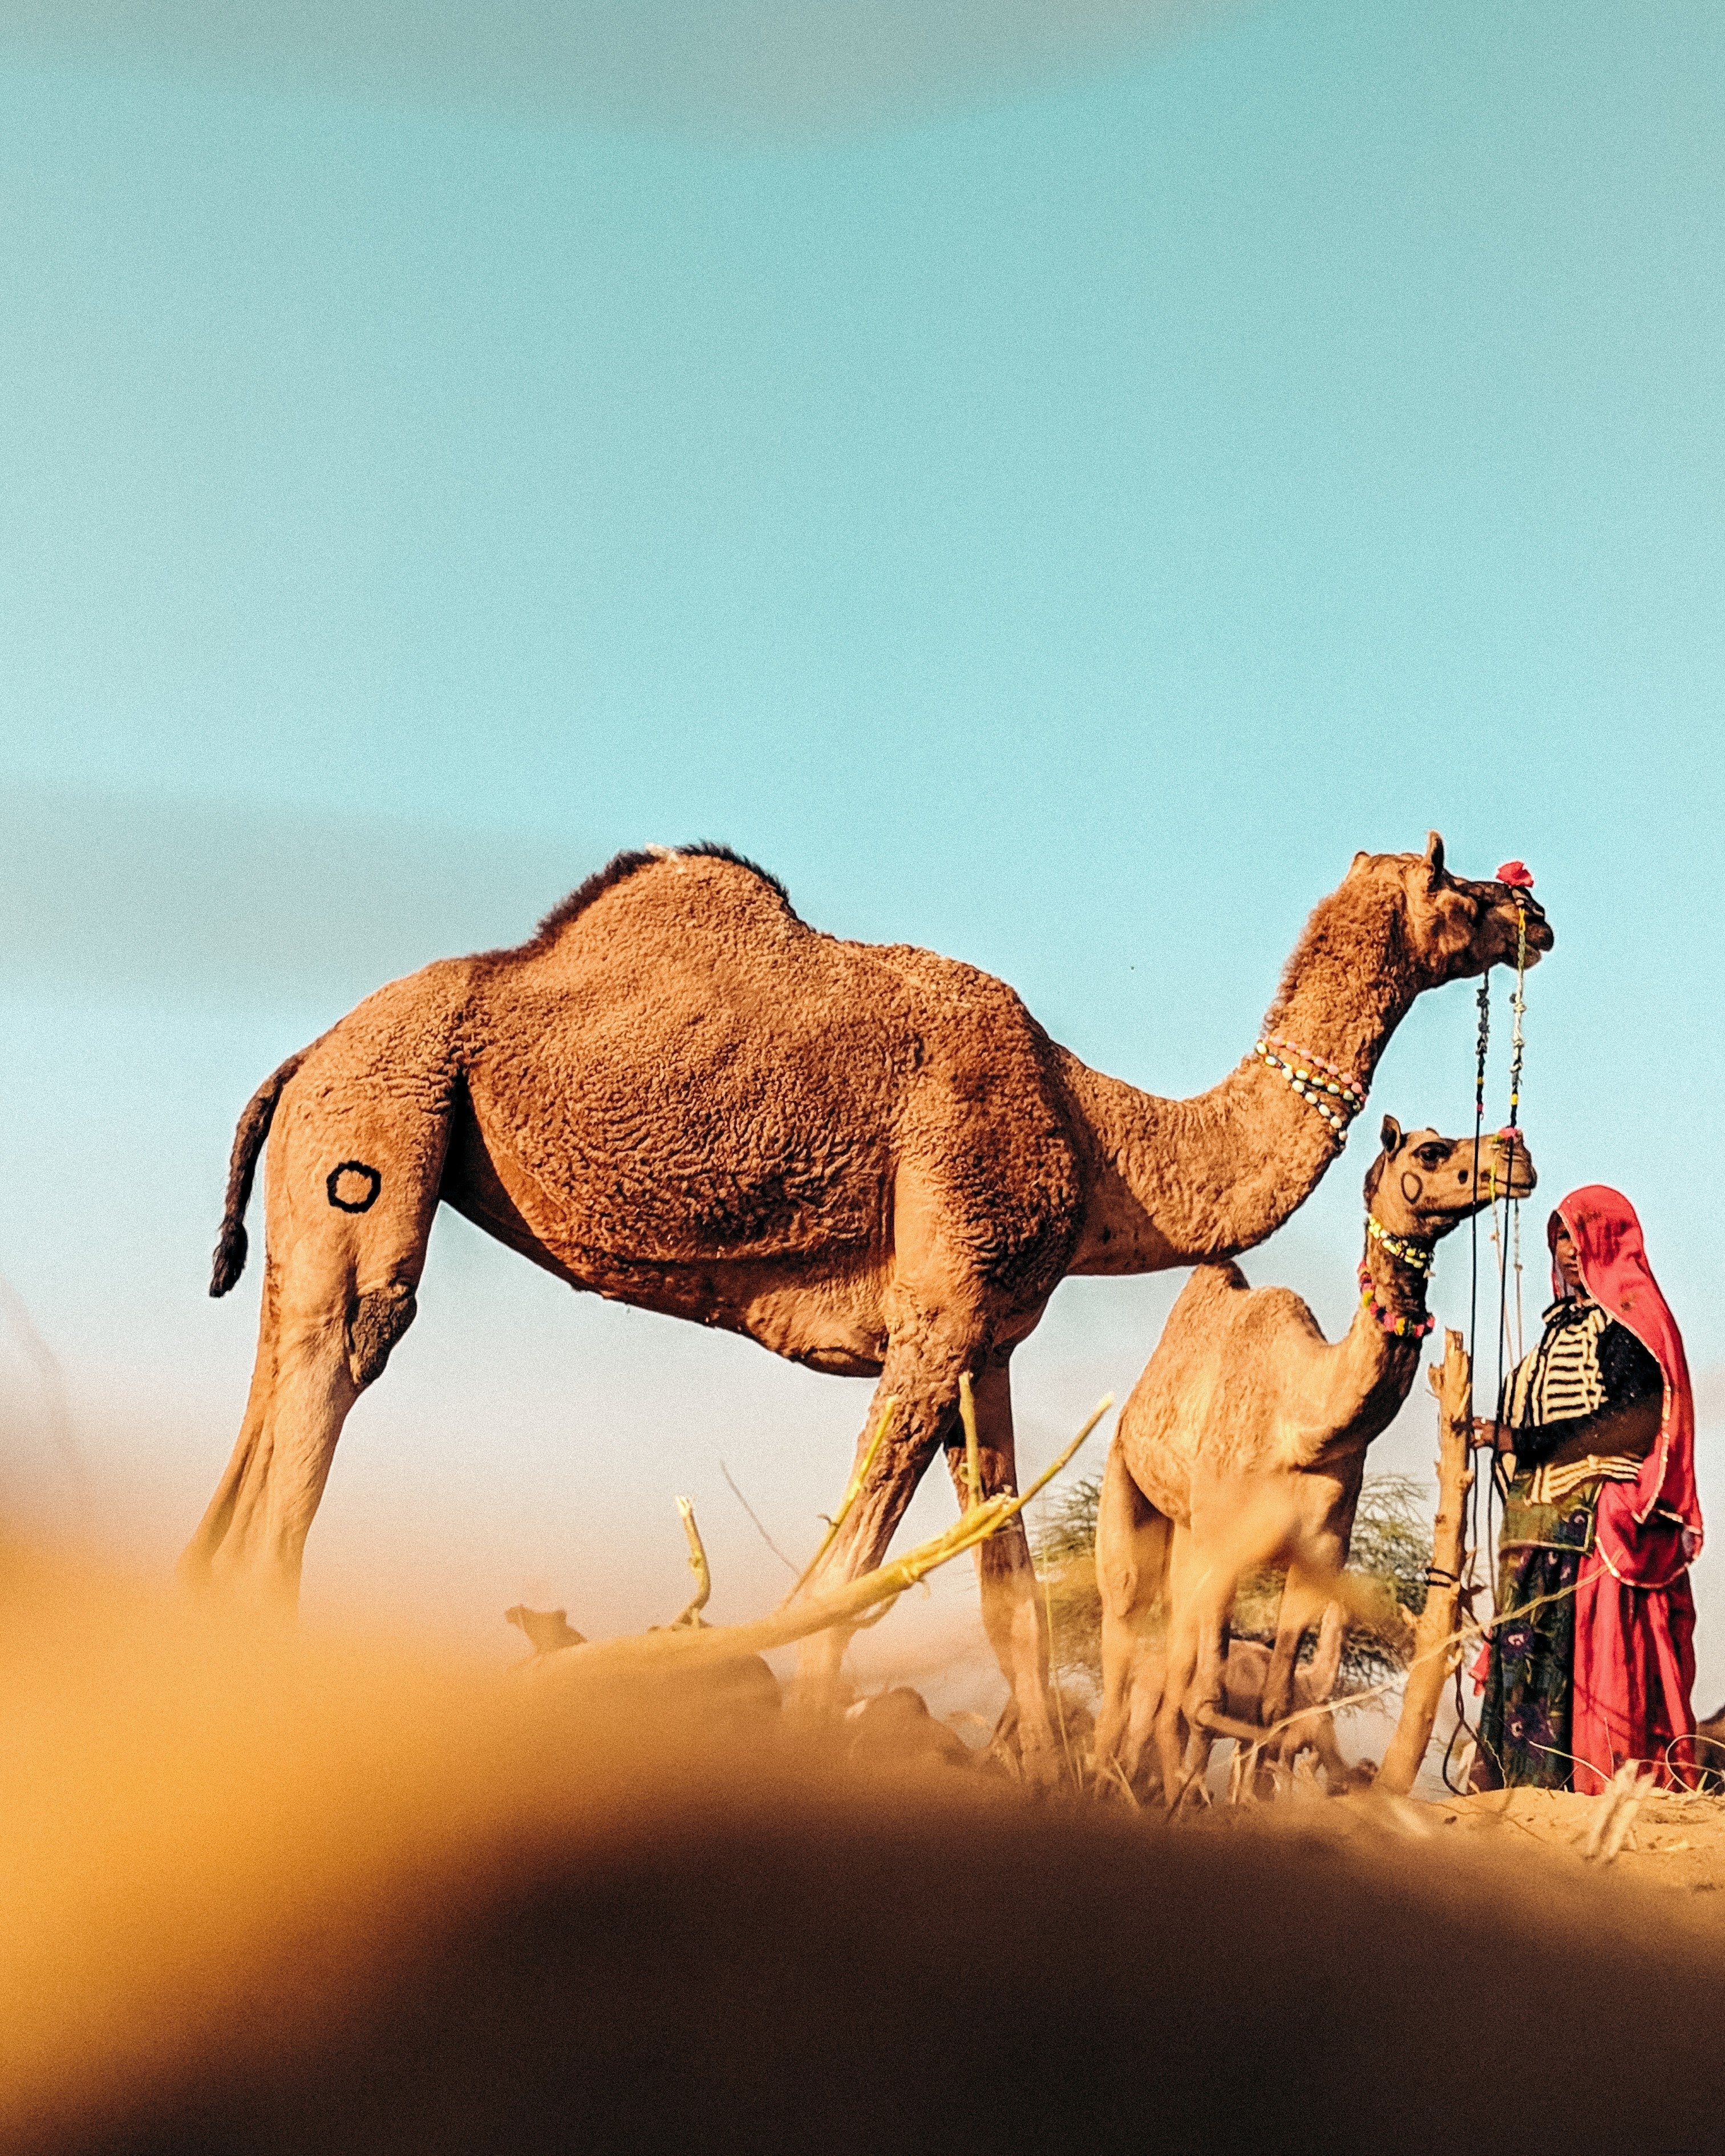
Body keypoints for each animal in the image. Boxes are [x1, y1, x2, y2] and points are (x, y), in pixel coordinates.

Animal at [1091, 1112, 1535, 1802]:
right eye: (1432, 1152)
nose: (1518, 1157)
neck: (1301, 1423)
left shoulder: (1320, 1554)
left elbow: (1272, 1709)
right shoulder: (1226, 1548)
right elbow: (1210, 1704)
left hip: (1187, 1539)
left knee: (1169, 1687)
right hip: (1128, 1493)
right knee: (1123, 1660)